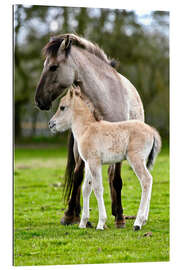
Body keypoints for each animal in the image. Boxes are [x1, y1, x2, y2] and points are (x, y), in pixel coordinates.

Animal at [34, 33, 145, 228]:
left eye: (53, 67)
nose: (39, 100)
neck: (107, 99)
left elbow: (116, 180)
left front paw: (120, 218)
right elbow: (78, 177)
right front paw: (71, 215)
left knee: (110, 176)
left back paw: (116, 211)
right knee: (82, 176)